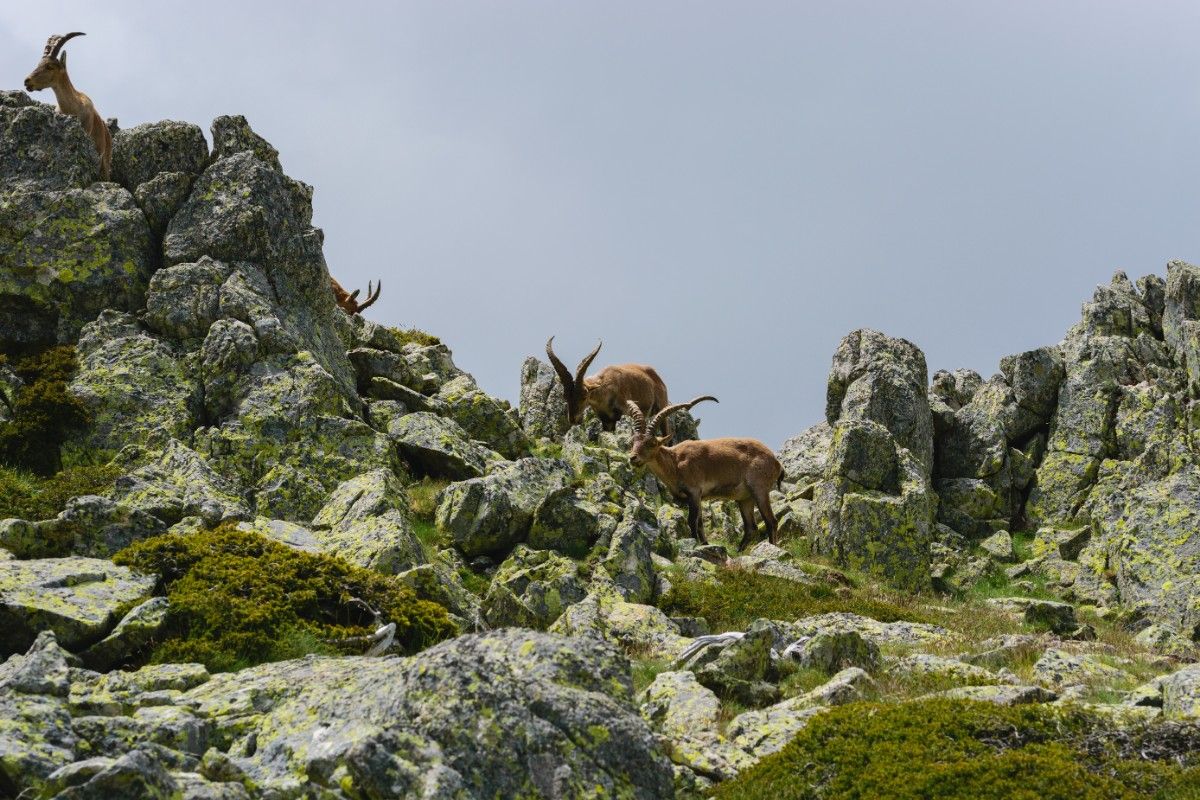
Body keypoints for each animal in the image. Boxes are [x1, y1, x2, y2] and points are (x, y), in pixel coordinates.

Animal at [626, 397, 782, 550]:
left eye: (652, 443)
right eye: (633, 441)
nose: (633, 458)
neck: (675, 462)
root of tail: (776, 462)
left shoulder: (694, 492)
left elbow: (692, 521)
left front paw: (694, 543)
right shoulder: (698, 497)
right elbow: (700, 523)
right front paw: (705, 544)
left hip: (759, 489)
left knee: (771, 521)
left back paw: (772, 547)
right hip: (745, 498)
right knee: (751, 527)